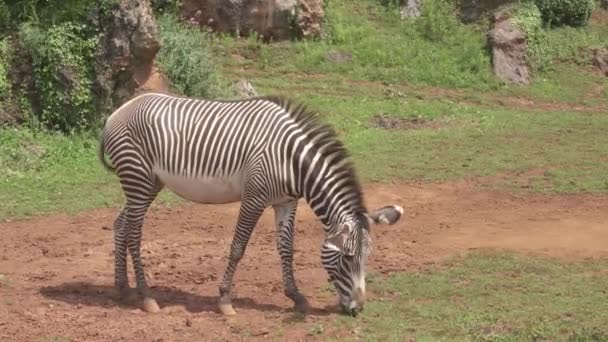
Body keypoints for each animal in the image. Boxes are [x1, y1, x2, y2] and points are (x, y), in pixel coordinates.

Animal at [98, 92, 404, 316]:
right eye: (349, 257)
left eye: (368, 257)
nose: (357, 309)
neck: (292, 160)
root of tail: (118, 111)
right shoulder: (254, 198)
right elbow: (238, 247)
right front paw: (224, 300)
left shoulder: (286, 202)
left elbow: (286, 249)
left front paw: (296, 297)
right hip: (138, 177)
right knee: (134, 233)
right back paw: (146, 297)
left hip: (149, 182)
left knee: (121, 223)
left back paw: (122, 289)